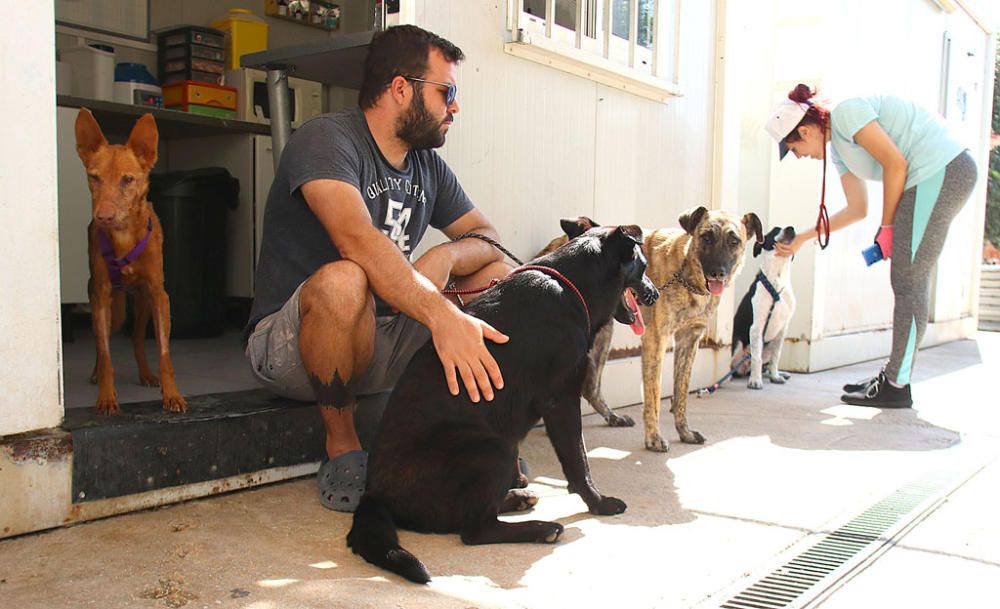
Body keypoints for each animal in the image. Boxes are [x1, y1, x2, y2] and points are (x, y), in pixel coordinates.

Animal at [75, 108, 187, 414]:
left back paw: (146, 374)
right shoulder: (101, 296)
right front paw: (106, 396)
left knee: (137, 338)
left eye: (128, 179)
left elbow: (164, 353)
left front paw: (172, 394)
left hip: (143, 303)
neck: (124, 236)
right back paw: (94, 373)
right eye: (94, 177)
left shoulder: (159, 295)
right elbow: (106, 354)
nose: (103, 216)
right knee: (100, 343)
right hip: (113, 308)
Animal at [348, 222, 660, 580]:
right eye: (643, 266)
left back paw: (517, 499)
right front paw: (599, 503)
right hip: (491, 447)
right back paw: (541, 528)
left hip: (499, 446)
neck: (571, 285)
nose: (656, 293)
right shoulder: (561, 401)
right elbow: (579, 462)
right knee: (475, 530)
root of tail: (375, 496)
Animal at [640, 207, 764, 448]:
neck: (686, 276)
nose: (718, 273)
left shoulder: (688, 341)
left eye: (734, 241)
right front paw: (654, 437)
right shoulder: (655, 339)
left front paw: (684, 432)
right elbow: (654, 394)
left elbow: (681, 393)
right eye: (706, 237)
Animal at [728, 226, 796, 388]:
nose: (791, 228)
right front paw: (755, 380)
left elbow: (775, 358)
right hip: (738, 342)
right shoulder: (757, 327)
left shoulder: (782, 330)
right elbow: (756, 358)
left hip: (769, 344)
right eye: (775, 230)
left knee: (767, 363)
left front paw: (775, 376)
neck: (777, 279)